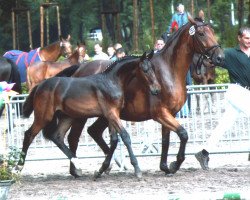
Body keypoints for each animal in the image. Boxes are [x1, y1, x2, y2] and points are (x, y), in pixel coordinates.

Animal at [17, 51, 160, 178]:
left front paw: (101, 169)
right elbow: (125, 136)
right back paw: (17, 167)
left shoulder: (113, 115)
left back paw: (77, 165)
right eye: (145, 70)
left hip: (67, 117)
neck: (111, 81)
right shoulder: (111, 113)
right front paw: (137, 169)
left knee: (57, 136)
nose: (157, 89)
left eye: (153, 68)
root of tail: (40, 85)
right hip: (43, 117)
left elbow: (114, 140)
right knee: (29, 135)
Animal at [53, 16, 225, 177]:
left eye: (213, 32)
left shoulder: (170, 113)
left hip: (105, 115)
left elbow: (166, 140)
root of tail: (79, 68)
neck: (169, 70)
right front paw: (175, 164)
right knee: (73, 137)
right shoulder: (160, 113)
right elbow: (183, 134)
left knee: (94, 132)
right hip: (81, 115)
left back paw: (106, 165)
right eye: (201, 33)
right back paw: (77, 169)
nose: (220, 57)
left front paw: (165, 167)